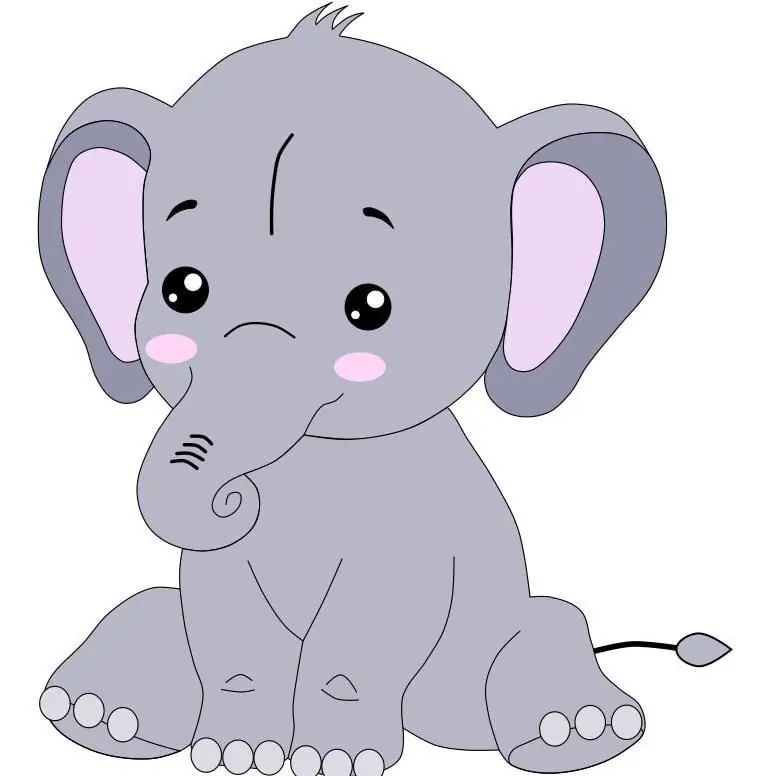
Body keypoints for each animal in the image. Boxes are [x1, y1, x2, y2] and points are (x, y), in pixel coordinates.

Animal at [37, 6, 730, 776]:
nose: (234, 496)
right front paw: (240, 755)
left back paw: (574, 731)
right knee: (154, 607)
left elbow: (374, 616)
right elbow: (223, 607)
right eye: (182, 290)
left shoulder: (413, 528)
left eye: (370, 306)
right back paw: (99, 716)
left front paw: (331, 761)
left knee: (548, 628)